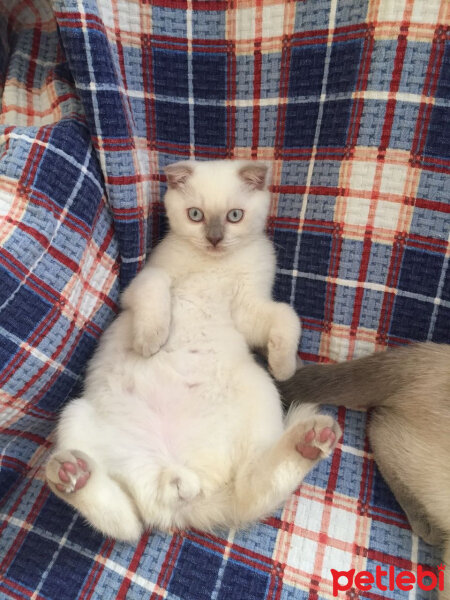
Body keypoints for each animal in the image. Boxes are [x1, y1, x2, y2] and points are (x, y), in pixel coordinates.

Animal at [45, 162, 342, 540]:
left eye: (234, 216)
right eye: (196, 215)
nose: (214, 238)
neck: (214, 266)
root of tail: (180, 488)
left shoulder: (249, 309)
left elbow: (286, 317)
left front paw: (285, 364)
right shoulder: (141, 284)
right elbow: (157, 290)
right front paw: (150, 341)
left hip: (259, 390)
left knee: (246, 494)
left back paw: (311, 440)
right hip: (75, 415)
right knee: (128, 522)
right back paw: (70, 474)